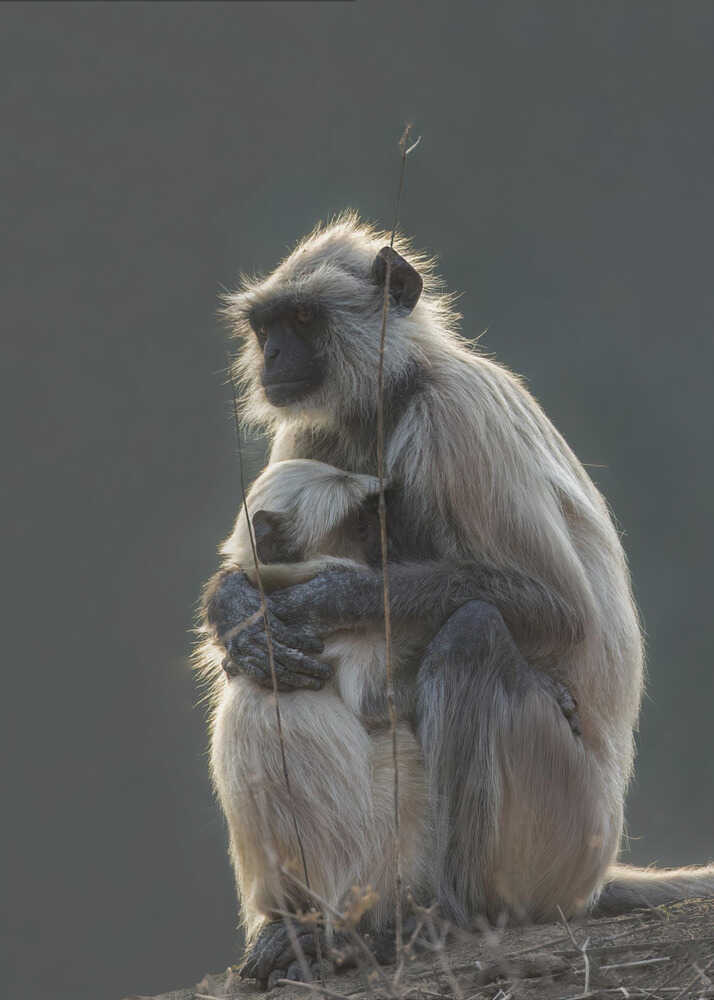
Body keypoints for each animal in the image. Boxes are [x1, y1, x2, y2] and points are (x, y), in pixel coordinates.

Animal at [202, 213, 714, 983]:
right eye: (267, 327)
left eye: (303, 320)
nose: (274, 356)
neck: (395, 392)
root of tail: (595, 871)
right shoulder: (313, 428)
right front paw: (238, 612)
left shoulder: (455, 416)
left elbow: (560, 609)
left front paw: (325, 598)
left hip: (562, 833)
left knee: (474, 629)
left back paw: (450, 918)